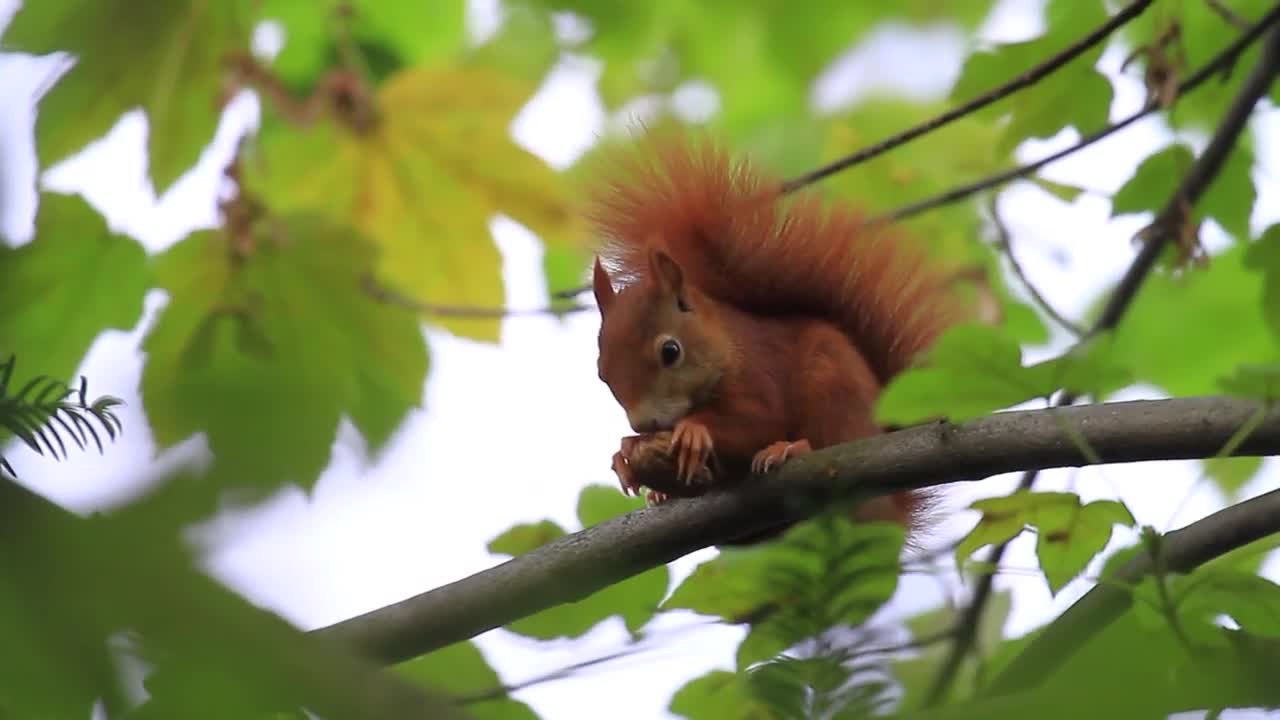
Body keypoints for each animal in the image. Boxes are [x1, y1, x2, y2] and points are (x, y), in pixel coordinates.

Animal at [586, 134, 962, 540]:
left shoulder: (760, 371)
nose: (643, 425)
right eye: (601, 372)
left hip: (834, 386)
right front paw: (625, 453)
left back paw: (792, 449)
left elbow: (759, 421)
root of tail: (896, 508)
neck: (725, 346)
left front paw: (694, 430)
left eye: (671, 351)